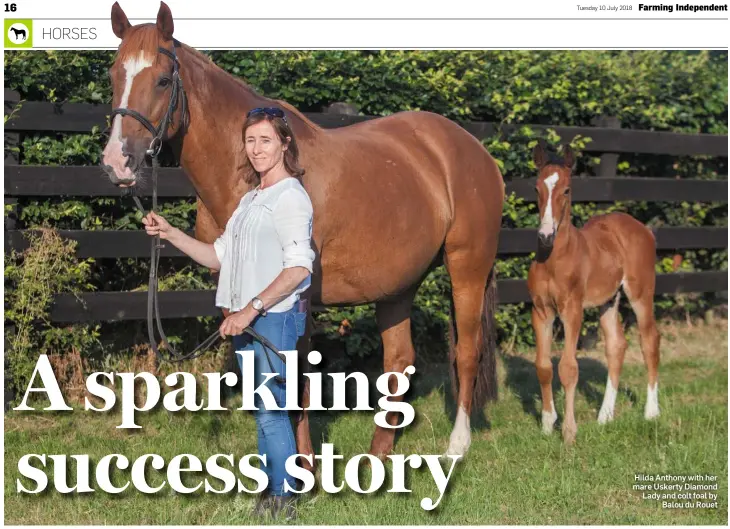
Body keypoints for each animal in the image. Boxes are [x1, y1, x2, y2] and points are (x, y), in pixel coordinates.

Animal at [528, 142, 656, 444]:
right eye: (537, 188)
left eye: (566, 190)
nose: (545, 235)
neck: (554, 259)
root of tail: (642, 228)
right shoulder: (541, 311)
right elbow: (543, 366)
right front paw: (547, 425)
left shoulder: (572, 311)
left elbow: (568, 368)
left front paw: (569, 434)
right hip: (609, 300)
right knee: (617, 345)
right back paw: (605, 416)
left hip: (641, 294)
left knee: (650, 341)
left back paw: (651, 412)